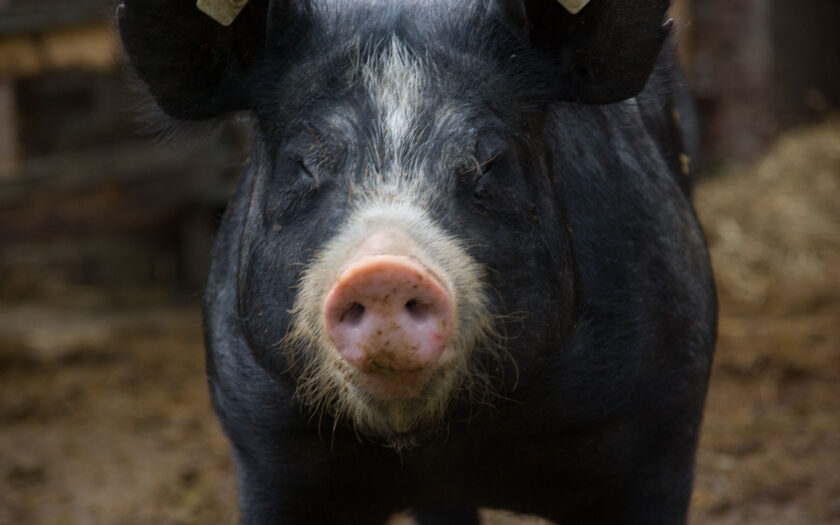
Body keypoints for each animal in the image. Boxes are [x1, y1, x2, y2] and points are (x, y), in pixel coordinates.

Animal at [120, 0, 716, 520]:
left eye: (492, 161)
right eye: (302, 164)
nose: (383, 271)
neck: (442, 446)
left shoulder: (662, 428)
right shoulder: (262, 442)